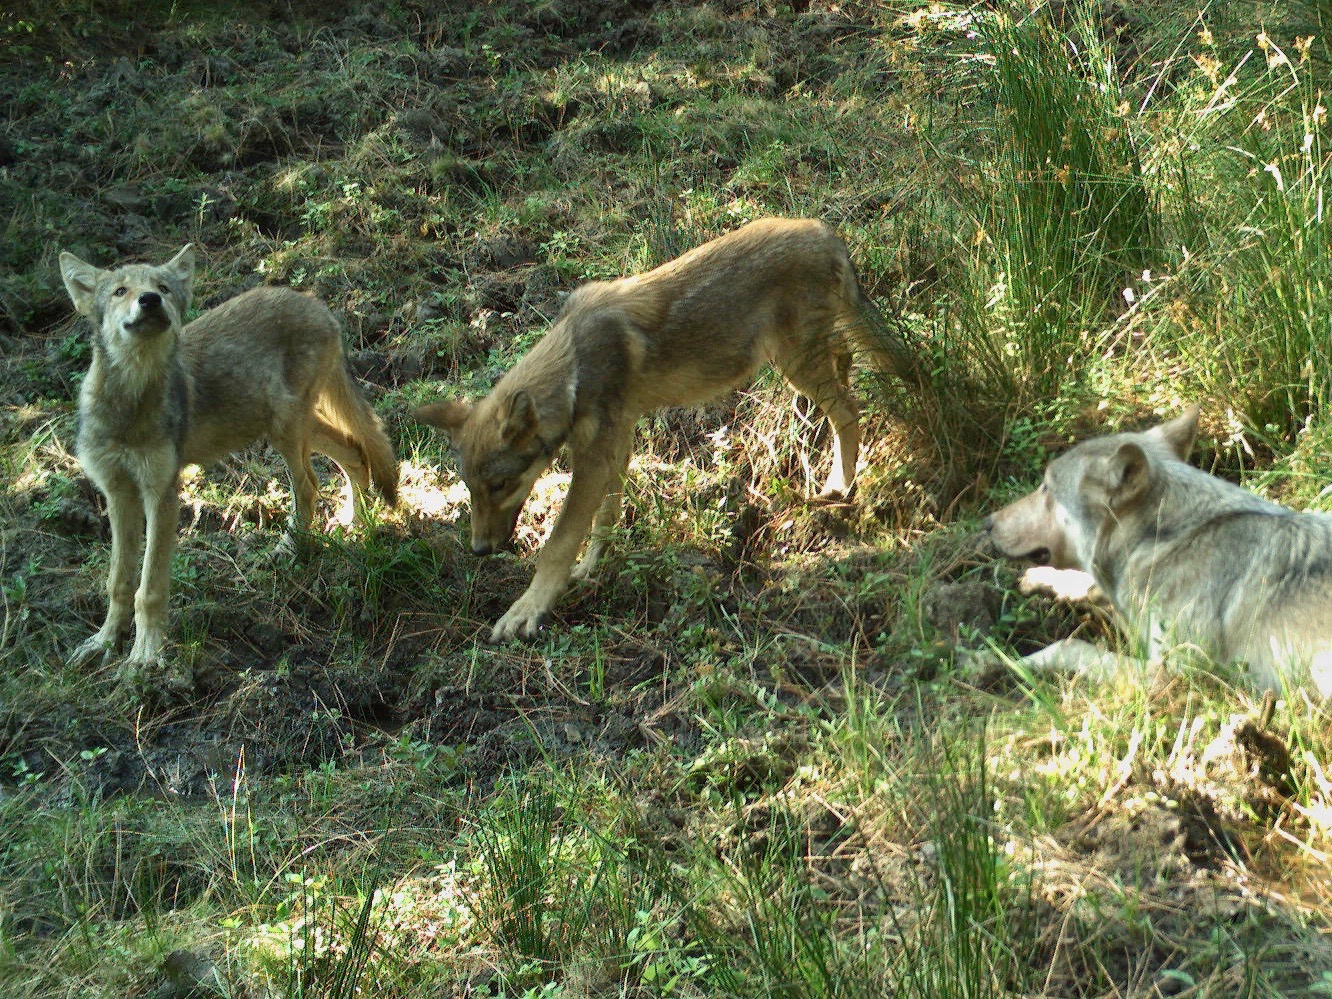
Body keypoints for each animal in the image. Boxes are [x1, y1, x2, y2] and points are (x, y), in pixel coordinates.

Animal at [59, 245, 396, 673]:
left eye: (162, 288)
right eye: (120, 291)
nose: (149, 300)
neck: (129, 407)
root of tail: (316, 303)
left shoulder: (161, 496)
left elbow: (148, 589)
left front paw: (145, 657)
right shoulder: (117, 495)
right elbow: (118, 582)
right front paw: (104, 642)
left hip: (286, 431)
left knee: (311, 485)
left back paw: (291, 550)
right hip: (289, 426)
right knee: (354, 451)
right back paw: (360, 526)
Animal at [415, 217, 916, 642]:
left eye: (501, 484)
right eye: (472, 489)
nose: (479, 550)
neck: (574, 366)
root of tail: (827, 234)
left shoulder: (594, 458)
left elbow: (558, 542)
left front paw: (526, 610)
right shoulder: (615, 445)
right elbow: (605, 519)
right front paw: (590, 570)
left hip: (796, 364)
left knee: (850, 409)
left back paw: (839, 486)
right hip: (803, 360)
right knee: (847, 367)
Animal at [991, 407, 1332, 697]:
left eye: (1046, 489)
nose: (987, 522)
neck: (1165, 542)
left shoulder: (1169, 673)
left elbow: (1067, 645)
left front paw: (1008, 664)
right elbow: (1088, 585)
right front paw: (1039, 580)